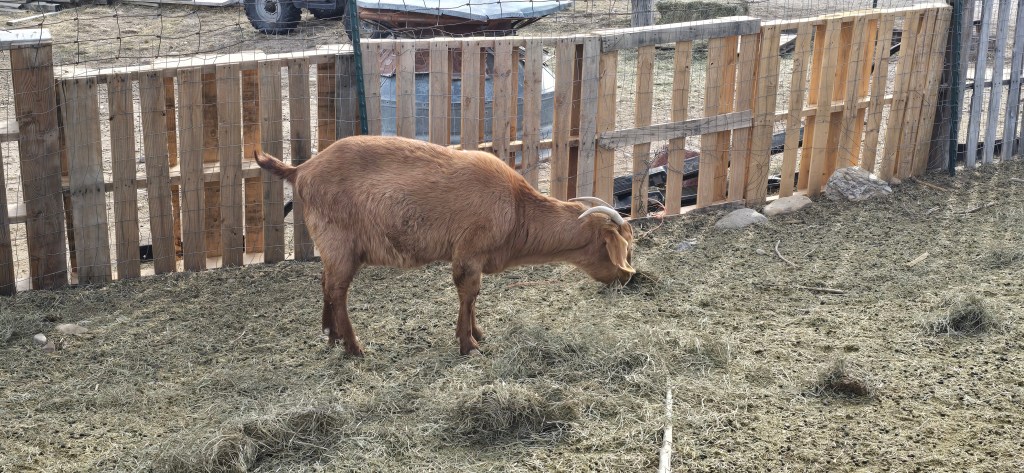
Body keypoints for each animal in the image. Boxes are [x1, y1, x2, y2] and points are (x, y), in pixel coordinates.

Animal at [255, 135, 635, 356]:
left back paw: (331, 335)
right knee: (337, 290)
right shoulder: (469, 250)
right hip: (341, 243)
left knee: (326, 284)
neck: (516, 208)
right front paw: (468, 344)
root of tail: (301, 170)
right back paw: (353, 347)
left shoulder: (473, 256)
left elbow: (472, 296)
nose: (628, 278)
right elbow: (468, 292)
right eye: (623, 249)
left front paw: (476, 334)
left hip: (332, 248)